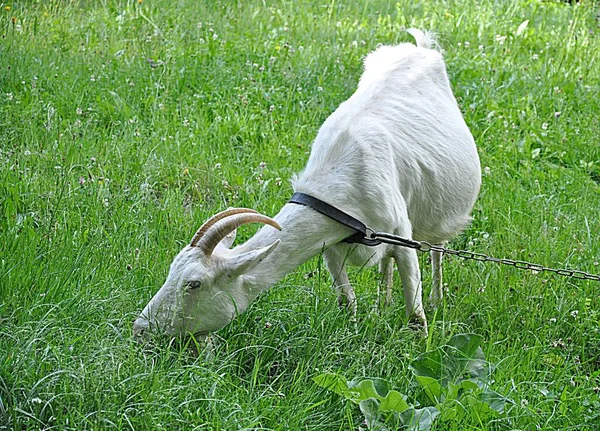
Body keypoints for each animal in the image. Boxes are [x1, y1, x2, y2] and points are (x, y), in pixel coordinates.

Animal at [132, 30, 482, 340]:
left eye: (193, 284)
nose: (140, 329)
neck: (340, 182)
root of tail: (420, 48)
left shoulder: (401, 236)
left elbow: (414, 314)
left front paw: (418, 345)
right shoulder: (332, 243)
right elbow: (347, 300)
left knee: (436, 249)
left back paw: (436, 300)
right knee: (386, 265)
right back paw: (382, 305)